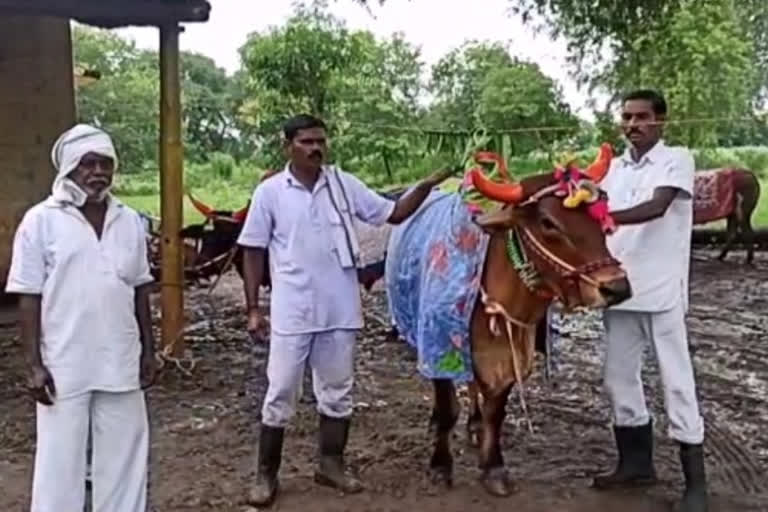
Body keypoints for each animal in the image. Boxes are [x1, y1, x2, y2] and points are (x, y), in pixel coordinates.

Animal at [384, 144, 632, 496]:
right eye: (547, 222)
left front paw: (493, 466)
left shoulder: (510, 354)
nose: (616, 287)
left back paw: (474, 424)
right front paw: (440, 465)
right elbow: (447, 410)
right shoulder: (440, 348)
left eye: (602, 212)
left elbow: (495, 411)